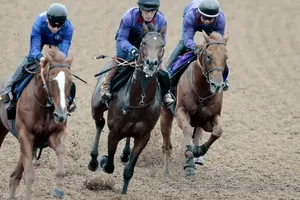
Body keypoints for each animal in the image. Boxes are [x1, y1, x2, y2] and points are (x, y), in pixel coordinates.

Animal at [0, 46, 74, 199]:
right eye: (51, 80)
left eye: (70, 81)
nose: (61, 114)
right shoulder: (25, 136)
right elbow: (29, 175)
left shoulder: (54, 135)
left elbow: (61, 152)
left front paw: (58, 190)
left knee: (14, 176)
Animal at [88, 23, 166, 194]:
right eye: (143, 43)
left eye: (162, 45)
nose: (151, 63)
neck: (139, 100)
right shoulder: (114, 132)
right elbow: (109, 165)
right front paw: (103, 160)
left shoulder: (144, 136)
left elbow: (129, 170)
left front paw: (123, 193)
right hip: (96, 106)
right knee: (99, 123)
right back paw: (94, 160)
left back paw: (124, 154)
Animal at [161, 30, 229, 176]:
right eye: (209, 56)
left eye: (226, 58)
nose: (217, 85)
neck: (202, 92)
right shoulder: (181, 111)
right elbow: (187, 129)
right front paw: (189, 159)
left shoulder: (210, 118)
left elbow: (218, 131)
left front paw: (198, 152)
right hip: (165, 113)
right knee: (166, 144)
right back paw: (167, 171)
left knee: (197, 134)